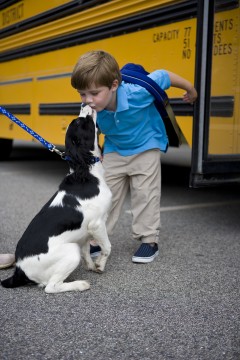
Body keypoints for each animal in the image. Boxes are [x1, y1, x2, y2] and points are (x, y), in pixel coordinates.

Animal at [0, 104, 112, 292]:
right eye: (80, 122)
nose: (84, 104)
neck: (86, 173)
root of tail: (19, 271)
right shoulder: (97, 224)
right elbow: (107, 247)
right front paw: (100, 265)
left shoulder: (85, 231)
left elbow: (86, 250)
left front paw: (91, 265)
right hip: (70, 251)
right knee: (51, 287)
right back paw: (80, 284)